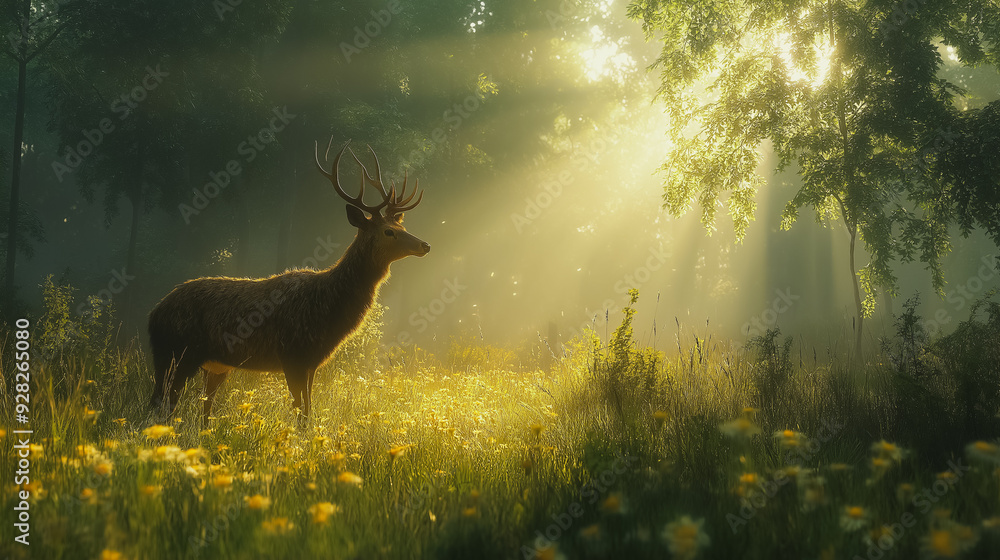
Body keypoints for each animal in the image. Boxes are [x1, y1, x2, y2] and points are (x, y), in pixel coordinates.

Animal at [147, 139, 429, 426]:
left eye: (402, 227)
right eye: (388, 231)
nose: (425, 245)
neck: (328, 307)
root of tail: (155, 313)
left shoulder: (312, 362)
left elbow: (308, 409)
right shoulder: (292, 354)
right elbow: (300, 411)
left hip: (212, 365)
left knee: (201, 405)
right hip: (174, 353)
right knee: (161, 401)